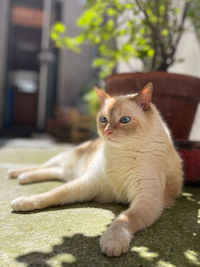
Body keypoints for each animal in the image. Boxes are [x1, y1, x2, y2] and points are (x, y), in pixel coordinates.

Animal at [8, 83, 183, 258]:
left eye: (125, 120)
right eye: (103, 120)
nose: (107, 132)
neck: (121, 153)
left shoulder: (146, 199)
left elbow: (125, 218)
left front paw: (113, 242)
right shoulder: (87, 184)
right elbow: (53, 194)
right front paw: (23, 202)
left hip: (68, 171)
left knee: (53, 171)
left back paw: (23, 177)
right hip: (66, 162)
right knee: (44, 166)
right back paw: (17, 174)